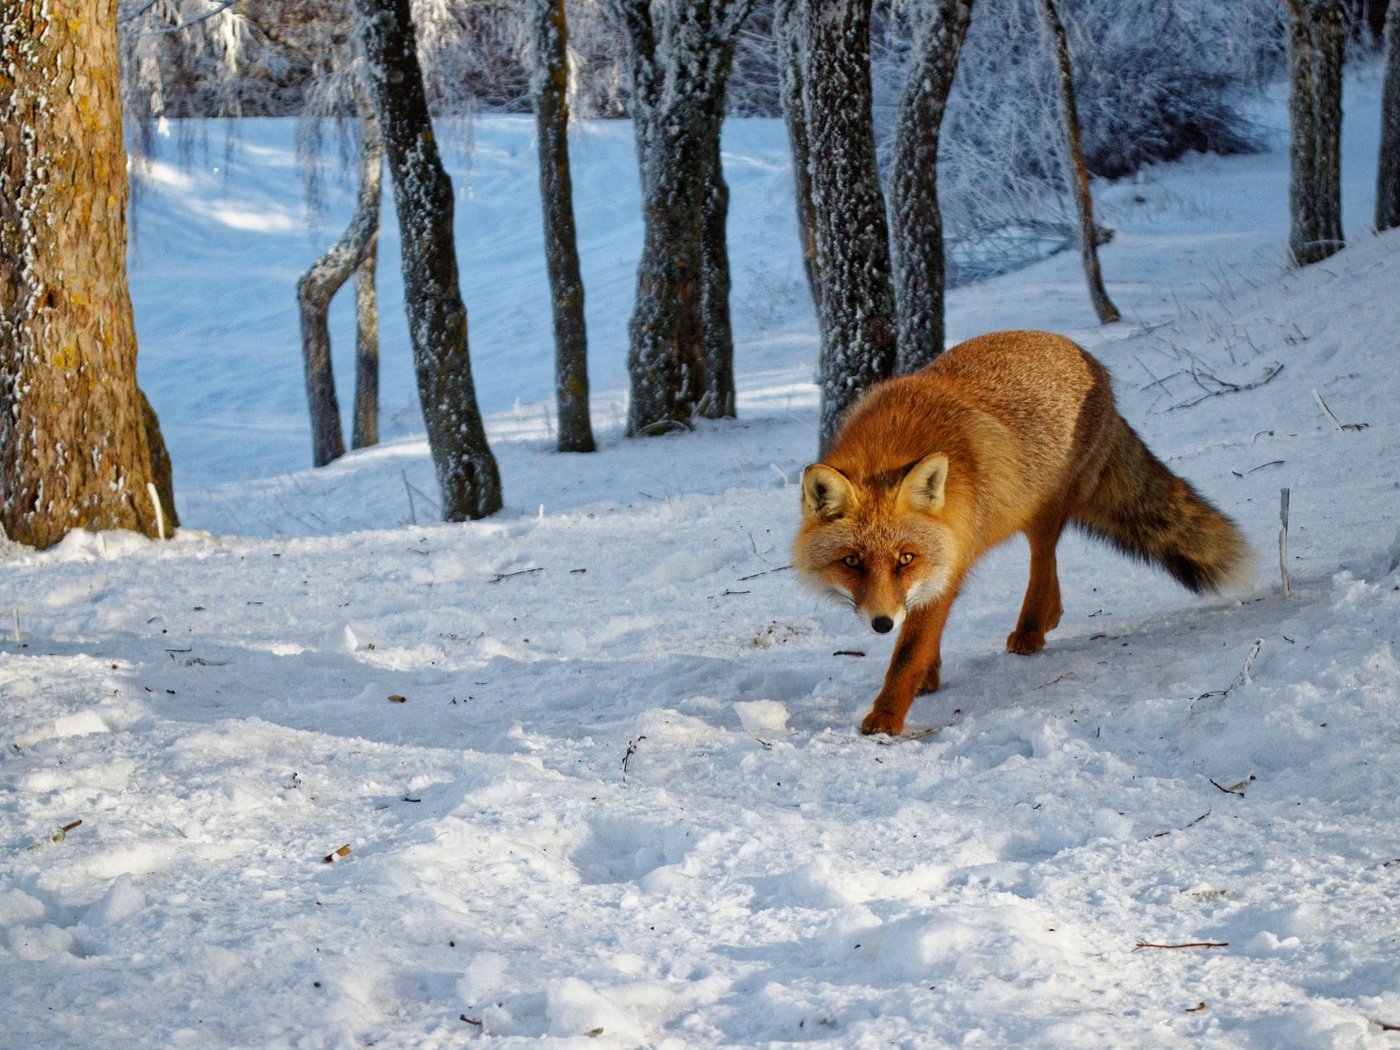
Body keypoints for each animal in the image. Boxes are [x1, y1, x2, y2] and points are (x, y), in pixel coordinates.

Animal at [795, 330, 1254, 739]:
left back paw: (1032, 628)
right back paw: (1049, 618)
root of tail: (1089, 358)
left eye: (905, 558)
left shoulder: (950, 560)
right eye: (852, 562)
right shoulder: (944, 558)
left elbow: (909, 652)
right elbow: (924, 634)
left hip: (1042, 511)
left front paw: (887, 716)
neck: (890, 445)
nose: (882, 624)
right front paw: (928, 675)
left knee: (1043, 563)